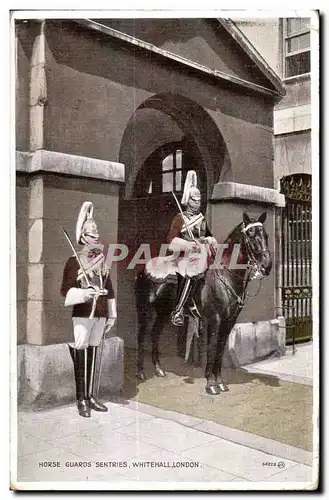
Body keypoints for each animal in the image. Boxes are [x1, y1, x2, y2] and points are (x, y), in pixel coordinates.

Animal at [133, 211, 272, 394]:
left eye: (266, 235)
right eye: (250, 234)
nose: (267, 265)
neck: (226, 275)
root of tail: (143, 268)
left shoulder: (229, 321)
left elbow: (220, 350)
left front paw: (220, 382)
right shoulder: (214, 320)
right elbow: (211, 349)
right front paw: (211, 384)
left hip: (163, 312)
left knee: (155, 333)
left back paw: (158, 369)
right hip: (144, 310)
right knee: (142, 336)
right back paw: (141, 372)